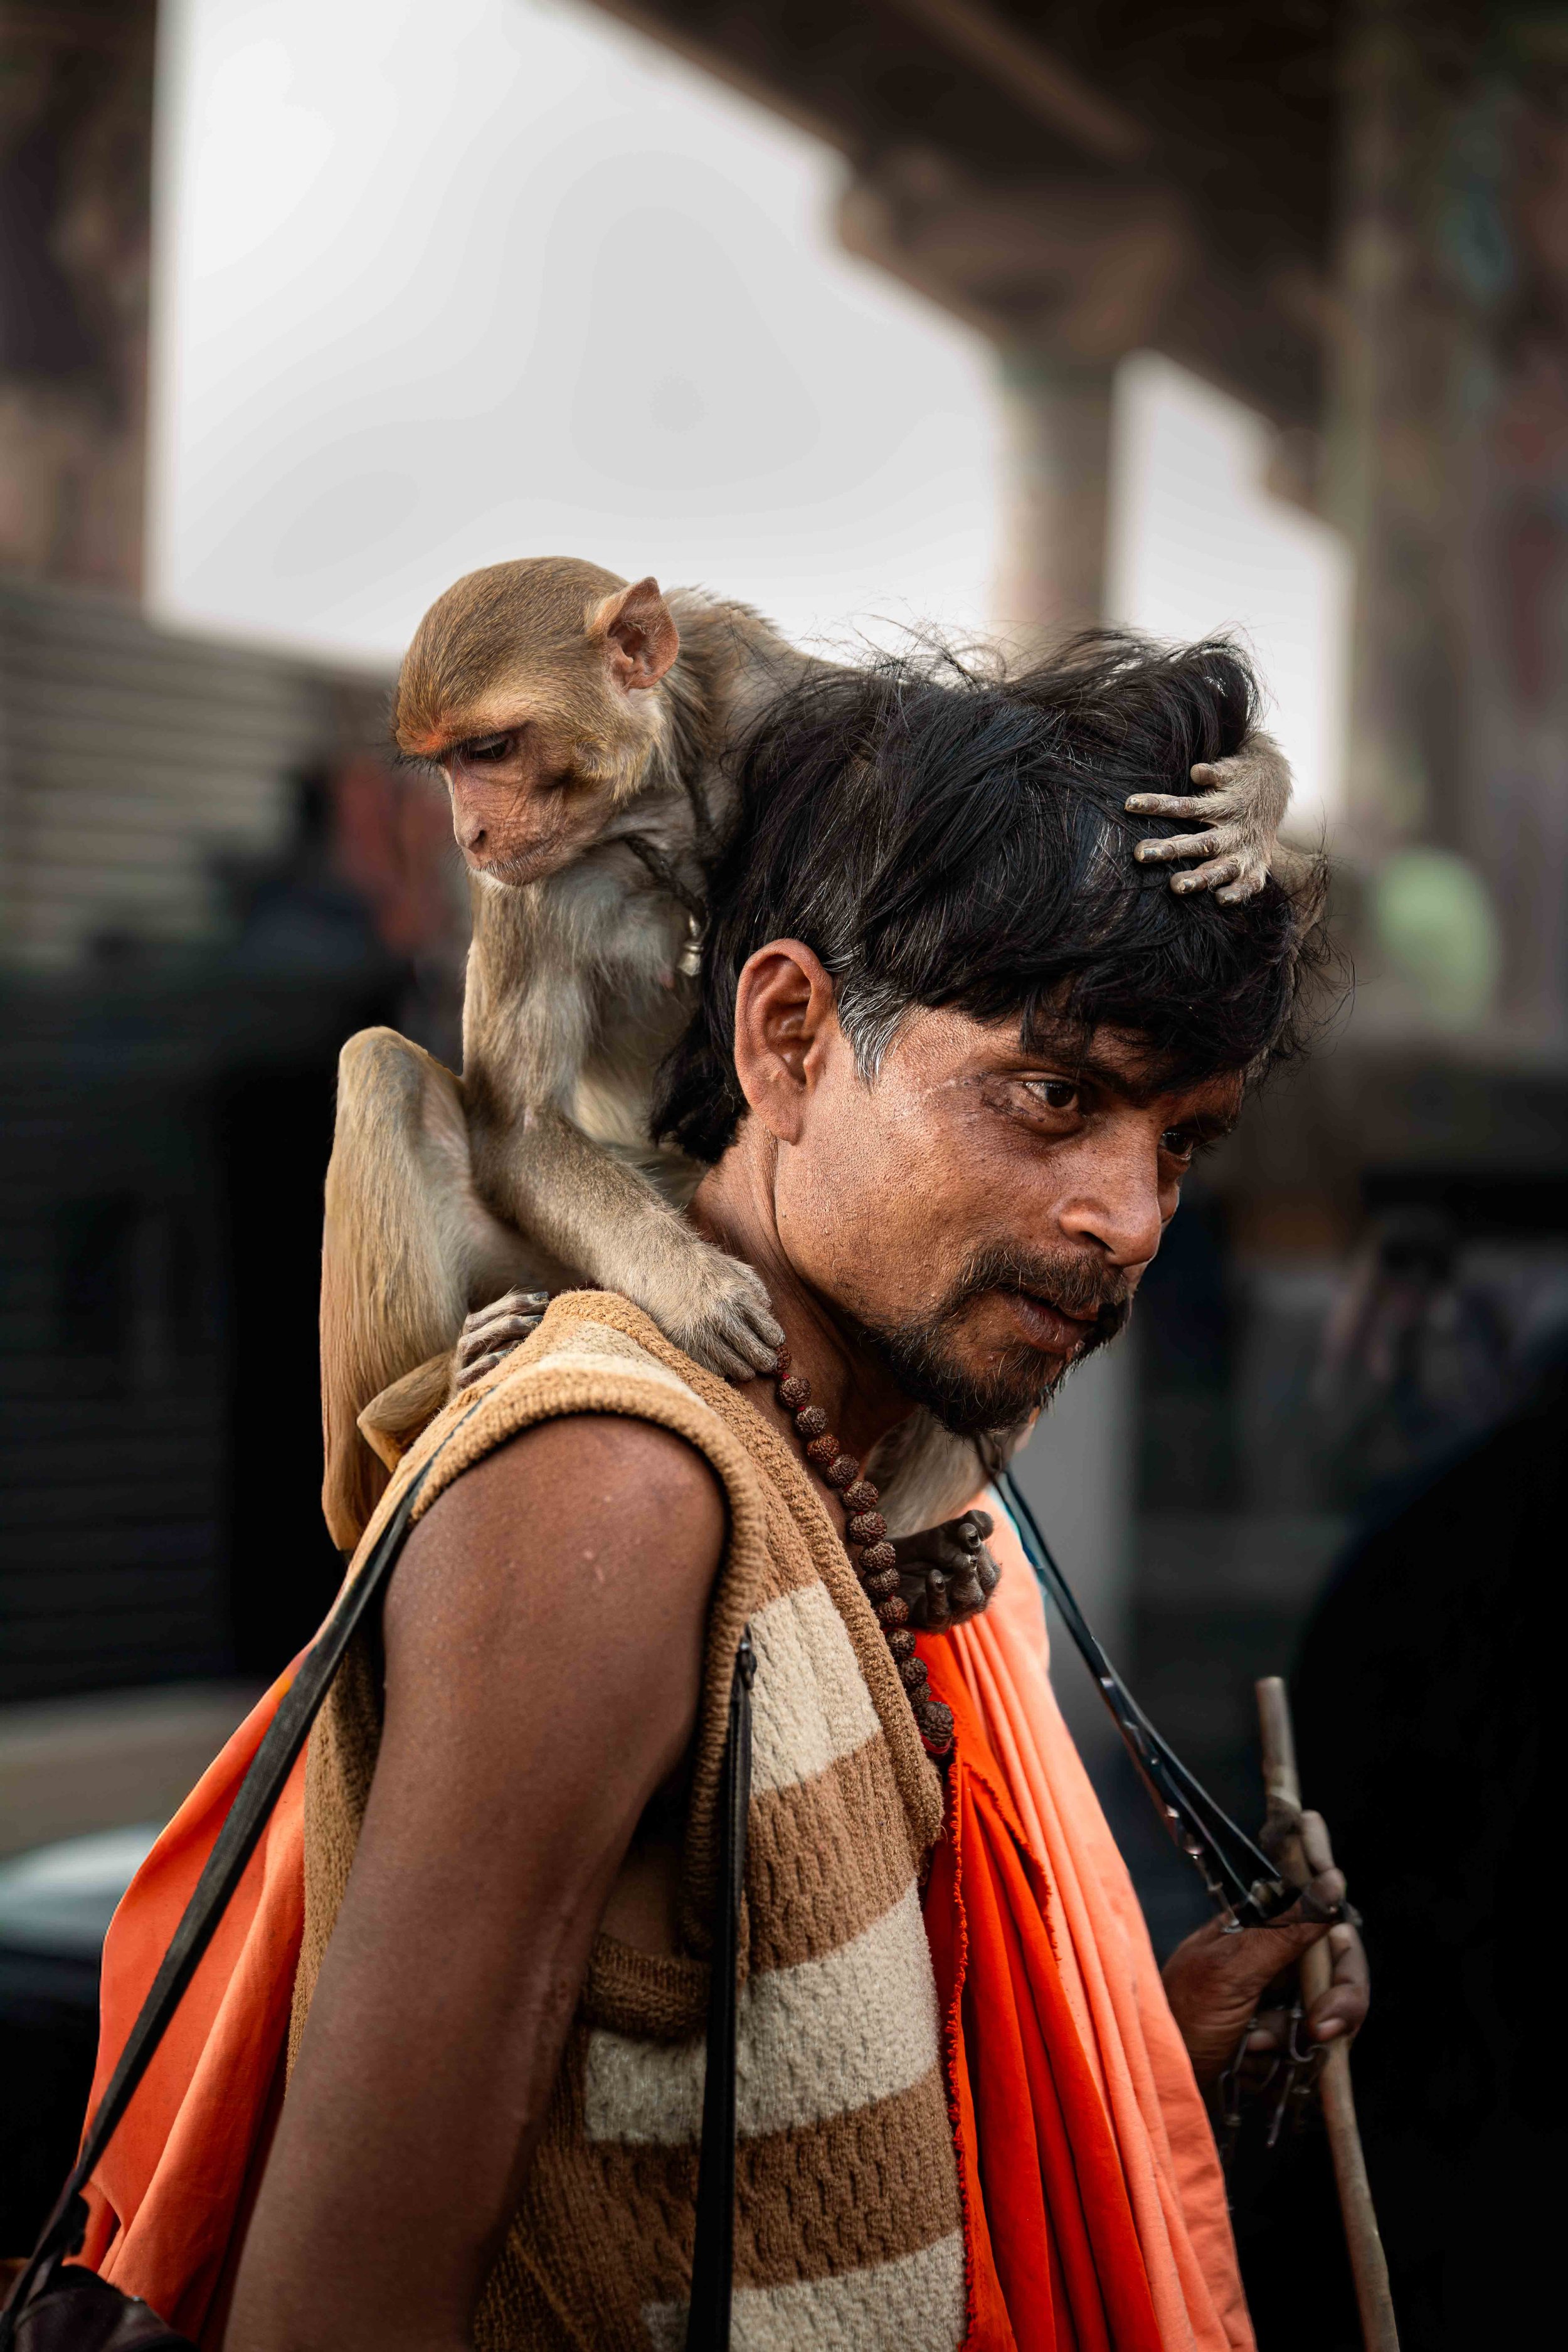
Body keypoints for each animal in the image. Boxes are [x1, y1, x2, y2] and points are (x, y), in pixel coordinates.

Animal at [319, 558, 1295, 1580]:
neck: (648, 808)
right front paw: (691, 1284)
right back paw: (408, 1409)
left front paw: (1251, 797)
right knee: (384, 1066)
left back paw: (916, 1562)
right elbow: (517, 1126)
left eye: (492, 749)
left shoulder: (754, 693)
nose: (466, 834)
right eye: (451, 763)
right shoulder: (530, 886)